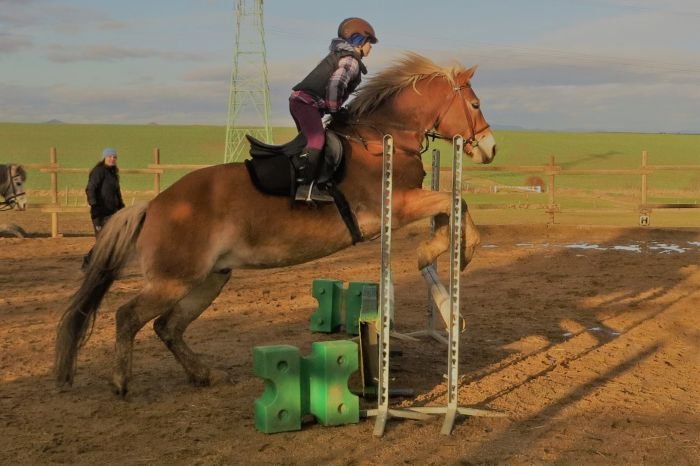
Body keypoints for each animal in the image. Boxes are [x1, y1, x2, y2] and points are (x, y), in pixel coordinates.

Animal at [55, 52, 497, 396]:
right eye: (475, 105)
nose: (491, 149)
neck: (383, 136)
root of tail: (154, 205)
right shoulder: (398, 203)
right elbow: (454, 199)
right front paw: (452, 252)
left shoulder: (408, 202)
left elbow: (451, 204)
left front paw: (444, 249)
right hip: (174, 280)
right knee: (128, 316)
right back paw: (120, 383)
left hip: (209, 279)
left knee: (168, 326)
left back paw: (203, 375)